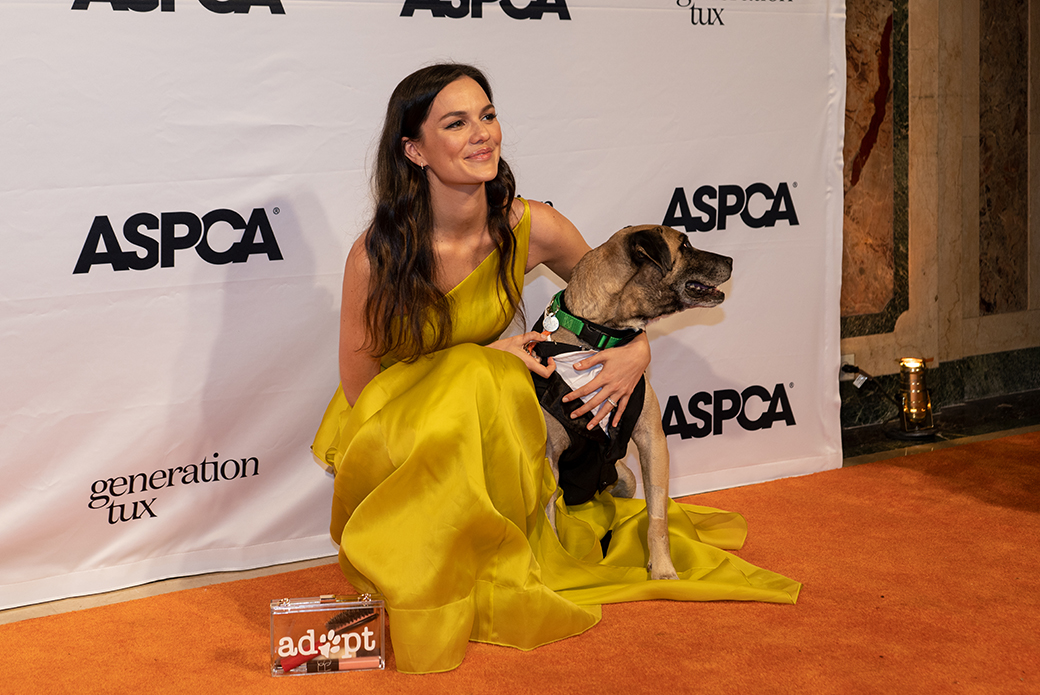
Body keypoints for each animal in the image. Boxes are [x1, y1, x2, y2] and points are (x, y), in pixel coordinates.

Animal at [536, 223, 732, 582]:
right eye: (684, 245)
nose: (731, 260)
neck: (602, 336)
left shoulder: (652, 441)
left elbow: (658, 519)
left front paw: (663, 570)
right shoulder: (548, 457)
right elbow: (548, 521)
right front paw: (559, 571)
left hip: (624, 477)